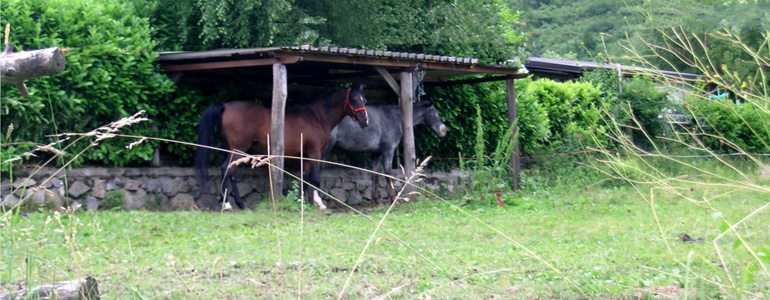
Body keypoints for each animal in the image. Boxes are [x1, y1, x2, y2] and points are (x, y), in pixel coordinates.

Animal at [195, 84, 368, 210]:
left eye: (364, 100)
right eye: (353, 100)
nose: (365, 121)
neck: (316, 117)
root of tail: (225, 106)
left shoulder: (305, 154)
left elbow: (304, 177)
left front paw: (302, 201)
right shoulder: (315, 152)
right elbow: (315, 178)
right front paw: (319, 203)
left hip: (232, 151)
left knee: (232, 173)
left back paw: (239, 203)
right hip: (237, 150)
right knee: (226, 169)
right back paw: (228, 204)